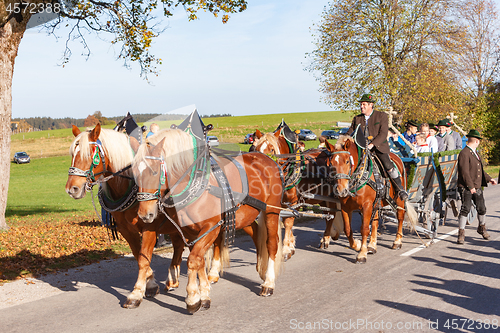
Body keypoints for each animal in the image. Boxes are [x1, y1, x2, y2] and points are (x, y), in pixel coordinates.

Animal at [64, 123, 186, 308]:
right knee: (179, 244)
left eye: (90, 154)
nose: (72, 189)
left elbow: (144, 258)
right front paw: (150, 283)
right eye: (72, 154)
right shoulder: (125, 229)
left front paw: (136, 293)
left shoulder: (150, 227)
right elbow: (138, 256)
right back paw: (173, 279)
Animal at [132, 126, 286, 312]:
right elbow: (198, 260)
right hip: (244, 215)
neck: (195, 184)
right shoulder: (190, 231)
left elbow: (193, 260)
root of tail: (268, 160)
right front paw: (203, 294)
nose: (144, 214)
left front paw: (192, 297)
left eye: (154, 172)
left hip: (271, 211)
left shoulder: (211, 227)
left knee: (271, 243)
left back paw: (269, 282)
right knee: (257, 234)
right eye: (133, 173)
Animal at [252, 127, 346, 256]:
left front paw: (286, 248)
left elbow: (288, 222)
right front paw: (291, 245)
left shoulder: (293, 201)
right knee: (327, 214)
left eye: (272, 149)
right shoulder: (282, 202)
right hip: (321, 197)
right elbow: (286, 218)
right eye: (256, 149)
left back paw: (326, 239)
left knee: (332, 214)